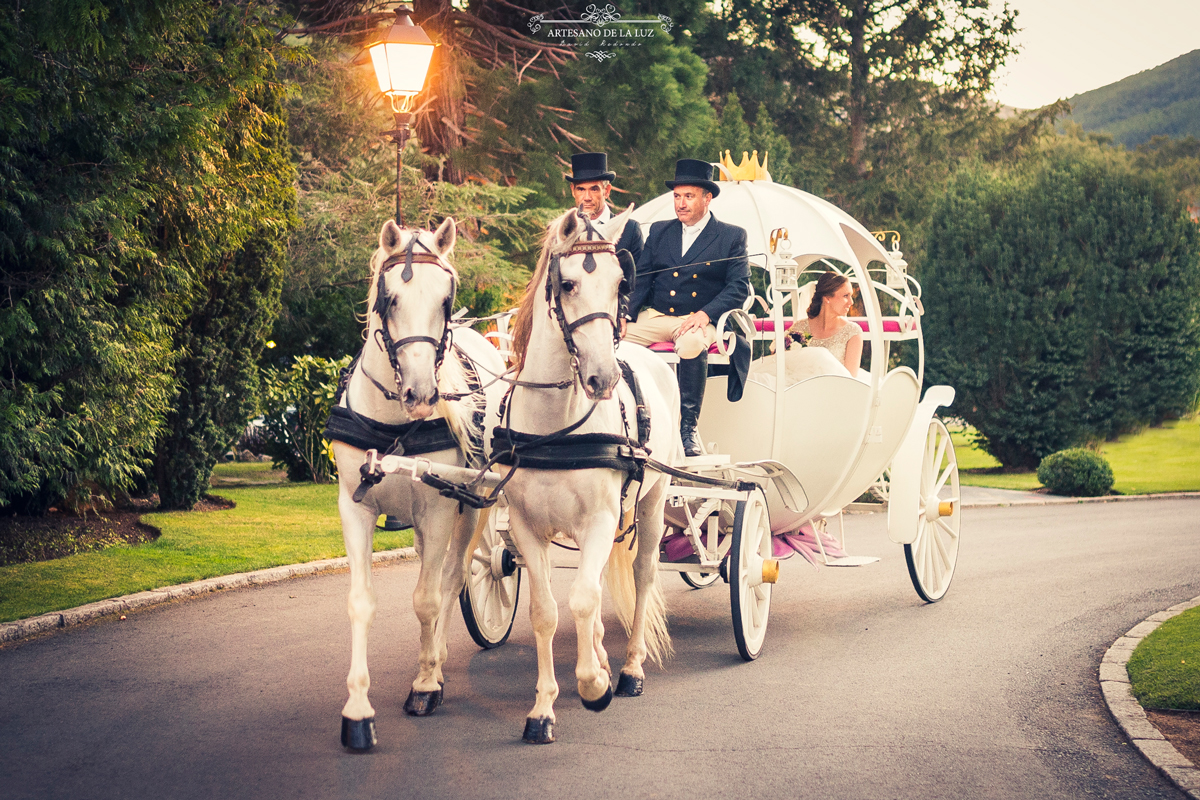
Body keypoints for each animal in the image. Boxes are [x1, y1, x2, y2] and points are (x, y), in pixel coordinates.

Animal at [328, 217, 506, 753]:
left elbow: (428, 599)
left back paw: (437, 662)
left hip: (470, 508)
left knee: (453, 578)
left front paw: (426, 683)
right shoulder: (355, 508)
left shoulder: (440, 510)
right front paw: (357, 711)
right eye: (389, 299)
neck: (395, 425)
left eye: (446, 300)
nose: (423, 394)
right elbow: (361, 603)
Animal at [499, 208, 686, 743]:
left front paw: (593, 685)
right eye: (567, 284)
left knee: (642, 575)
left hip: (652, 502)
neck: (555, 428)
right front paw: (542, 709)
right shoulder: (526, 528)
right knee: (600, 580)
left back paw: (628, 669)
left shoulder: (601, 519)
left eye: (621, 283)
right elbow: (546, 611)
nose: (604, 378)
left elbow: (582, 599)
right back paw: (602, 653)